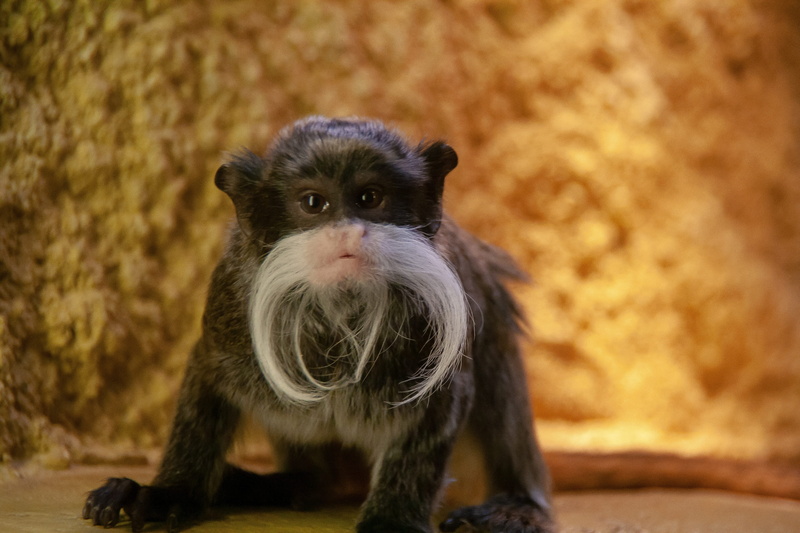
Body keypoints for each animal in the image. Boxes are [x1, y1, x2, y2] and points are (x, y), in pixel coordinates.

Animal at [82, 116, 554, 533]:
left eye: (369, 198)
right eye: (314, 203)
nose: (346, 234)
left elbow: (437, 416)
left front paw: (393, 519)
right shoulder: (228, 313)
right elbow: (204, 389)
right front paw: (172, 492)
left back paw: (517, 505)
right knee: (321, 479)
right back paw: (271, 485)